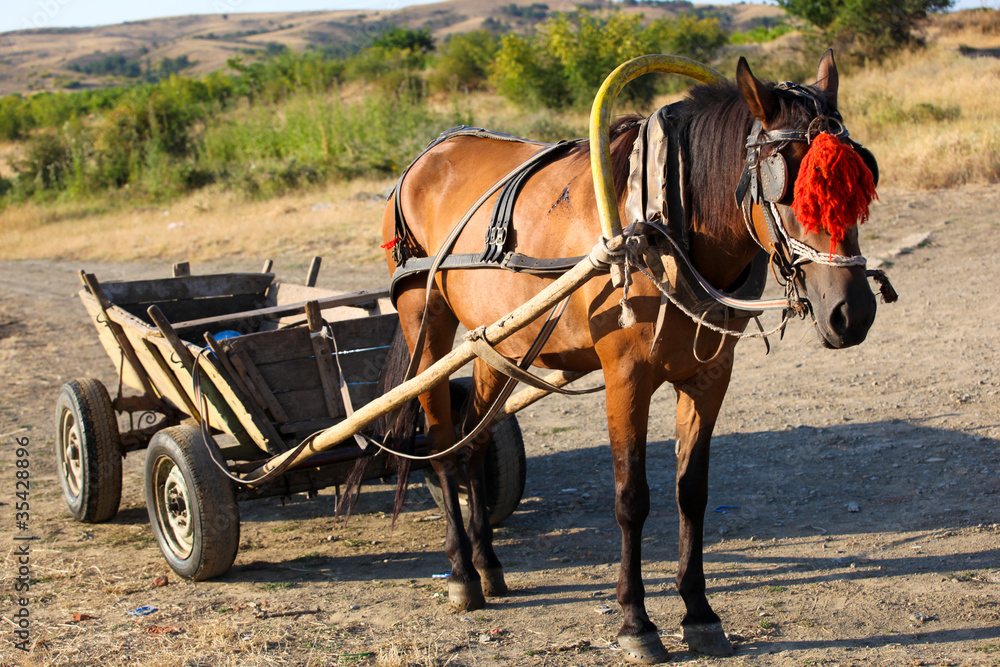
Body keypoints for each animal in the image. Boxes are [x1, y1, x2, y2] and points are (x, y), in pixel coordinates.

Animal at [378, 51, 881, 663]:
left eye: (861, 176)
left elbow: (692, 492)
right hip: (424, 323)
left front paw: (699, 612)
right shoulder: (626, 379)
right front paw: (635, 621)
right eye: (787, 186)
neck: (664, 228)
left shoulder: (709, 376)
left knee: (476, 435)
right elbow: (630, 498)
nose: (852, 314)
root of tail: (430, 154)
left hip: (493, 341)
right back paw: (461, 574)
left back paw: (488, 563)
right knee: (444, 445)